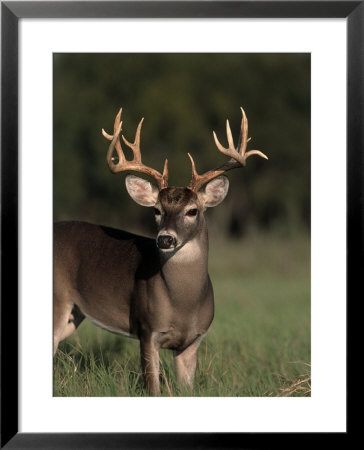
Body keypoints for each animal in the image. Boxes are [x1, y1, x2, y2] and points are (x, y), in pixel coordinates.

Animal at [52, 107, 266, 396]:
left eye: (192, 211)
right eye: (156, 210)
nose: (165, 239)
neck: (183, 304)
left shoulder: (193, 340)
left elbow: (188, 390)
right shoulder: (147, 330)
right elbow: (152, 388)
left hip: (74, 314)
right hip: (56, 300)